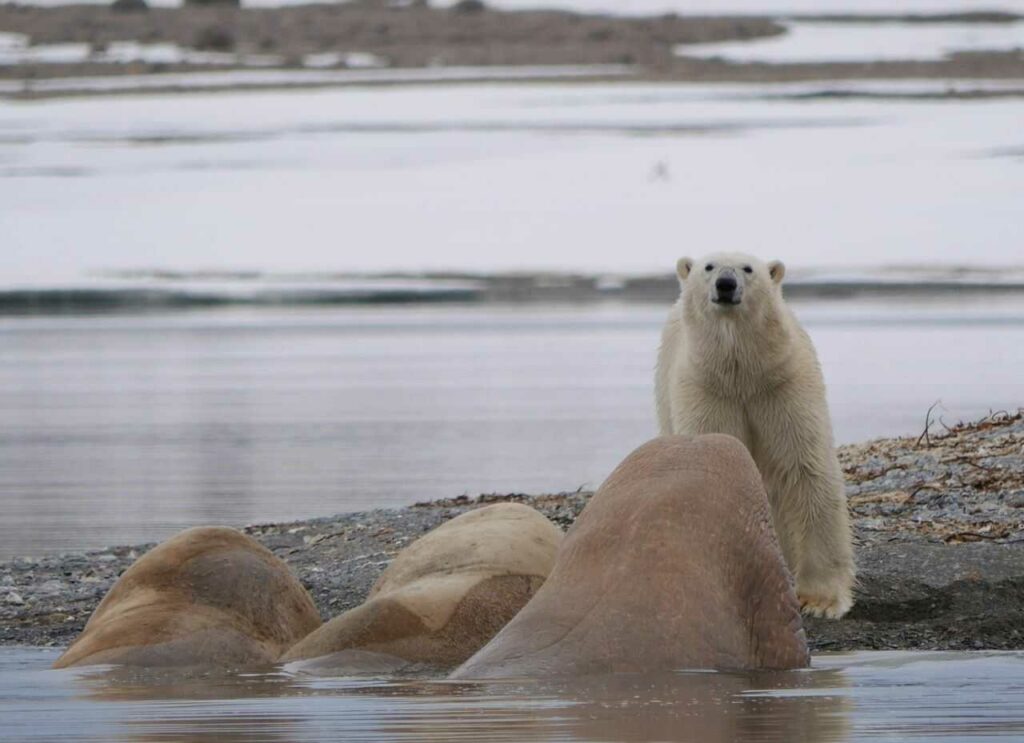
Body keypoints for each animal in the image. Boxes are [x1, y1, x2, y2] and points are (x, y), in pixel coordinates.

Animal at [655, 252, 856, 618]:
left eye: (748, 269)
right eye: (709, 267)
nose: (726, 284)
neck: (743, 374)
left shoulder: (782, 387)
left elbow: (806, 470)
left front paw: (820, 600)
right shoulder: (707, 390)